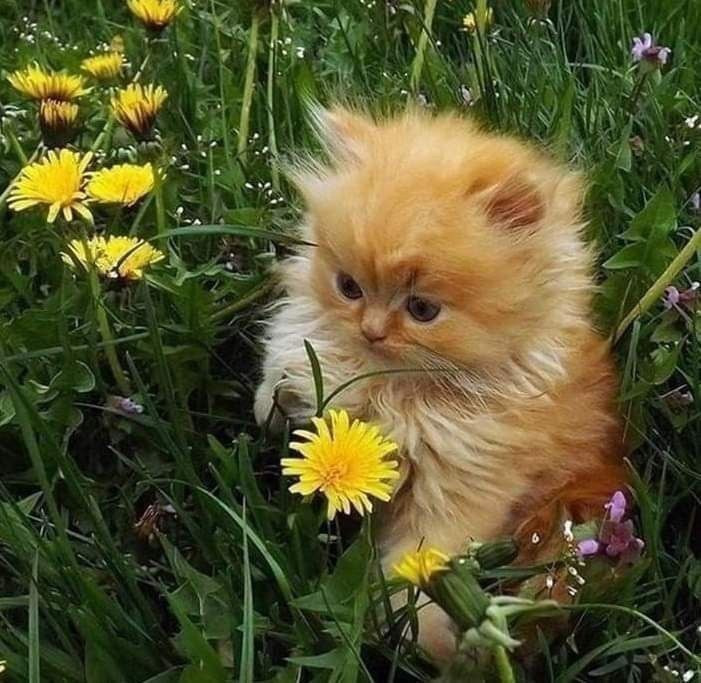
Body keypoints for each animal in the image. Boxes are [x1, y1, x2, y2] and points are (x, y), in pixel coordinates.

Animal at [254, 106, 627, 661]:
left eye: (422, 310)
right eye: (349, 287)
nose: (371, 331)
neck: (395, 388)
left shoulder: (465, 482)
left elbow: (420, 561)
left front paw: (420, 638)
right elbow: (283, 370)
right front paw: (273, 405)